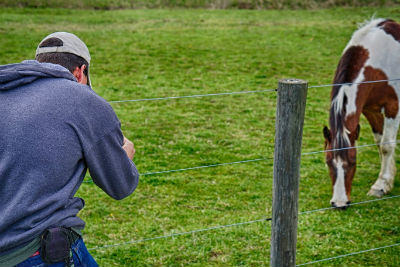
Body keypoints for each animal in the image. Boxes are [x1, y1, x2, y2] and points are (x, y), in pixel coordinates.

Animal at [322, 19, 400, 209]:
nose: (340, 203)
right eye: (328, 161)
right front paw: (387, 180)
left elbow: (387, 145)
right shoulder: (369, 109)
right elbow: (380, 143)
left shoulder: (393, 107)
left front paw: (380, 186)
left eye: (353, 161)